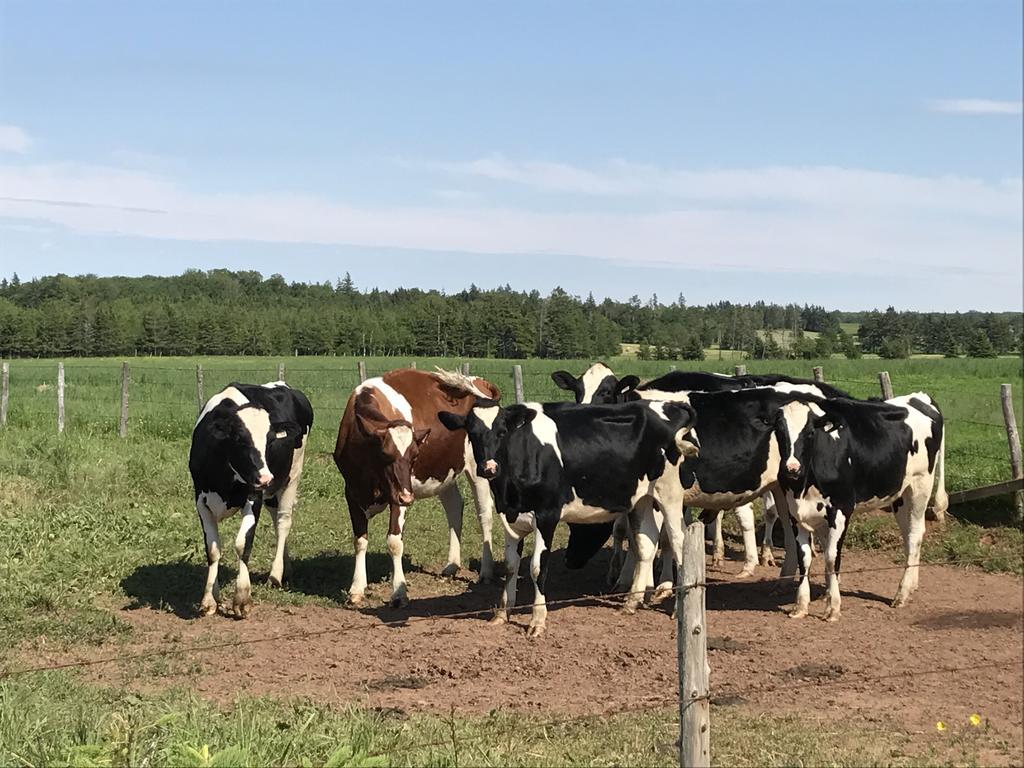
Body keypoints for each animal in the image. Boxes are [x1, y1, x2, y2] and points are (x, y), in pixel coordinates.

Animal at [186, 382, 309, 618]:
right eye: (240, 440)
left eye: (270, 440)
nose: (265, 478)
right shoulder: (201, 501)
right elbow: (213, 549)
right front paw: (210, 599)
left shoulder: (254, 497)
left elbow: (243, 543)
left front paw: (242, 599)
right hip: (272, 493)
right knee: (276, 520)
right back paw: (286, 568)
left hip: (293, 475)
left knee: (283, 522)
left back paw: (275, 575)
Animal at [331, 366, 499, 606]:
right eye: (385, 454)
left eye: (414, 457)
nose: (408, 498)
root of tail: (480, 382)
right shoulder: (352, 492)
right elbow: (360, 540)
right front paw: (357, 588)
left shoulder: (399, 493)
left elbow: (394, 542)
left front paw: (399, 592)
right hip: (443, 470)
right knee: (454, 507)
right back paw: (452, 565)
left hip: (481, 469)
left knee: (484, 514)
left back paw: (486, 572)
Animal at [436, 399, 700, 638]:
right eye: (472, 434)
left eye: (502, 432)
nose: (488, 468)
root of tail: (669, 404)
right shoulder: (509, 518)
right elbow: (511, 566)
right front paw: (502, 614)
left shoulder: (547, 516)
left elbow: (537, 568)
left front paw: (537, 621)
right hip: (643, 497)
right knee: (647, 543)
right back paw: (631, 603)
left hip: (670, 494)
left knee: (679, 543)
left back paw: (677, 609)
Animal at [778, 393, 946, 622]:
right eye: (779, 432)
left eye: (810, 432)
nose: (791, 468)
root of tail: (920, 397)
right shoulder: (795, 512)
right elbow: (804, 559)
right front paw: (801, 606)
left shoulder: (841, 509)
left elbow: (831, 558)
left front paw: (833, 608)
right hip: (899, 496)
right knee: (908, 535)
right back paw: (912, 585)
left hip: (920, 487)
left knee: (914, 536)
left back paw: (901, 594)